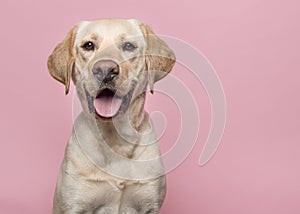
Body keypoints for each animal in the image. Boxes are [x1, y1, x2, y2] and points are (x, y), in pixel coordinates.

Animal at [47, 18, 176, 214]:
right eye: (88, 45)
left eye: (128, 46)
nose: (105, 70)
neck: (115, 140)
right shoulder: (75, 205)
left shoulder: (149, 205)